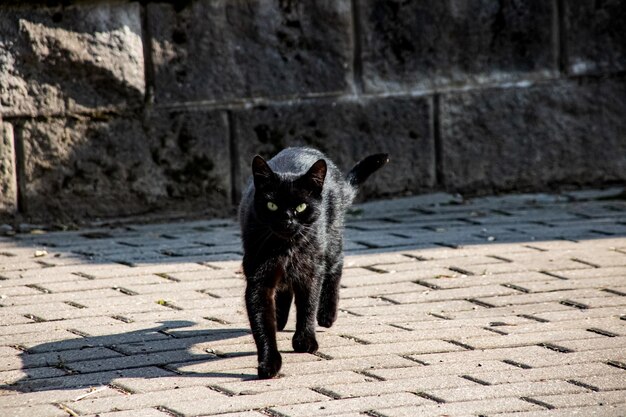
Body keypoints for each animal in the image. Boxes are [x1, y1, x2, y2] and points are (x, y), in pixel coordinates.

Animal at [238, 146, 386, 376]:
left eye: (300, 207)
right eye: (272, 205)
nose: (287, 221)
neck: (285, 248)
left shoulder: (310, 270)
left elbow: (308, 304)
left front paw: (305, 340)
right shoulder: (259, 279)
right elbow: (262, 321)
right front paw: (269, 362)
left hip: (330, 239)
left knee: (336, 266)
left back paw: (326, 315)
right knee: (285, 288)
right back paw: (280, 318)